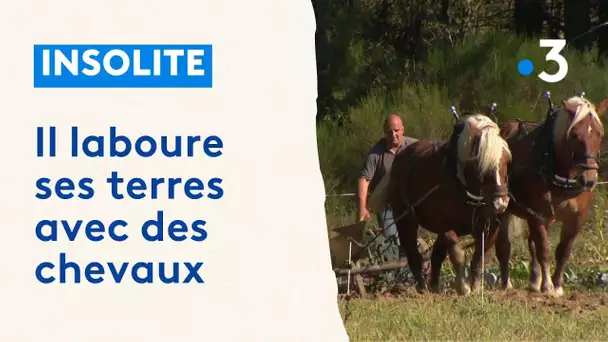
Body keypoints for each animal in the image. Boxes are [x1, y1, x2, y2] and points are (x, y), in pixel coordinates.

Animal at [368, 111, 510, 294]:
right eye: (480, 163)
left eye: (507, 160)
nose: (501, 203)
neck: (461, 180)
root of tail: (398, 159)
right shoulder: (444, 225)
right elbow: (457, 253)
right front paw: (463, 287)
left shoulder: (490, 225)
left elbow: (479, 256)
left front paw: (476, 287)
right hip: (405, 219)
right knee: (413, 254)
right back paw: (422, 288)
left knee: (436, 254)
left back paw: (434, 286)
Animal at [494, 91, 608, 296]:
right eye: (574, 135)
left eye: (600, 134)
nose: (589, 180)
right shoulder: (537, 215)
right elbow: (544, 250)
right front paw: (547, 286)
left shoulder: (576, 218)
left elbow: (563, 251)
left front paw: (557, 285)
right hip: (504, 210)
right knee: (505, 246)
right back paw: (507, 283)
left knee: (531, 244)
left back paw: (534, 279)